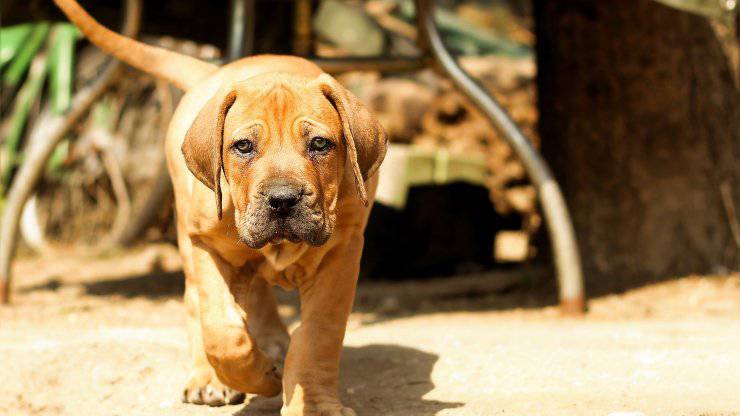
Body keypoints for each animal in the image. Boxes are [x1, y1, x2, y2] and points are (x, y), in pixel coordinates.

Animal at [52, 1, 388, 414]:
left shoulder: (340, 256)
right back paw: (210, 378)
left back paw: (273, 343)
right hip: (187, 237)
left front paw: (314, 402)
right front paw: (256, 374)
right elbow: (222, 330)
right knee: (196, 304)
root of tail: (210, 73)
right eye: (243, 146)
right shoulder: (206, 246)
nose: (282, 199)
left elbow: (317, 337)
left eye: (320, 144)